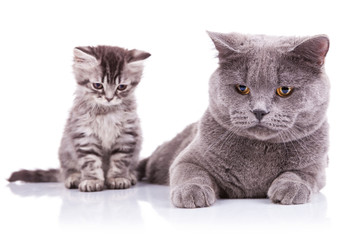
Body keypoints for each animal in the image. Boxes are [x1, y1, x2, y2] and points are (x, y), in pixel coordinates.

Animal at [9, 44, 150, 191]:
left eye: (121, 87)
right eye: (98, 85)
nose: (109, 98)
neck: (106, 111)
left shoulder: (127, 134)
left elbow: (120, 160)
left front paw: (118, 178)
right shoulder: (84, 135)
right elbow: (90, 161)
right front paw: (92, 181)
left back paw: (131, 175)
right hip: (65, 152)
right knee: (68, 171)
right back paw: (74, 178)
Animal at [139, 31, 330, 207]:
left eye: (284, 90)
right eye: (242, 88)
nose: (259, 111)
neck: (260, 151)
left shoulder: (318, 168)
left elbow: (302, 174)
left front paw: (292, 187)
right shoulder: (186, 158)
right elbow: (190, 171)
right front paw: (192, 191)